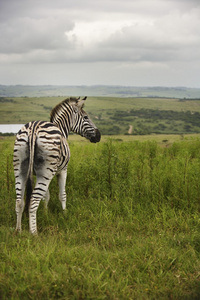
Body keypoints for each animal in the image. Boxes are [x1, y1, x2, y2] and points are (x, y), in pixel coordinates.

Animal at [13, 96, 101, 234]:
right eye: (86, 117)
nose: (99, 136)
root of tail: (33, 129)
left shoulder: (40, 173)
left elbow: (46, 196)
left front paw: (46, 214)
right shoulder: (63, 170)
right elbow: (62, 194)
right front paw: (65, 214)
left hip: (20, 169)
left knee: (19, 201)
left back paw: (19, 231)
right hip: (45, 171)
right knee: (33, 201)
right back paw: (34, 233)